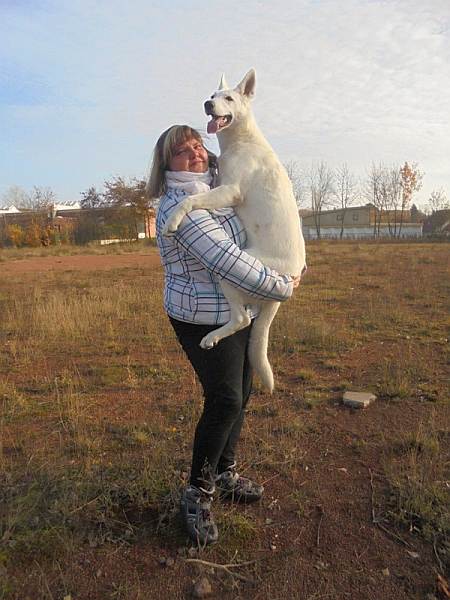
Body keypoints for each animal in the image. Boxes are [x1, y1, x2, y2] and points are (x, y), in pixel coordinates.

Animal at [163, 70, 308, 392]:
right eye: (212, 95)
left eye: (228, 98)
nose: (207, 104)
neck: (241, 140)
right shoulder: (221, 186)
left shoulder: (229, 191)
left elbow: (190, 199)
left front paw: (172, 221)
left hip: (228, 272)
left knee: (241, 318)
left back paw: (211, 337)